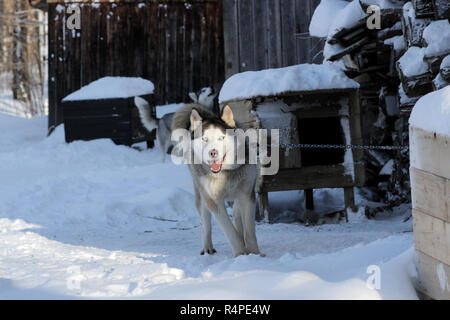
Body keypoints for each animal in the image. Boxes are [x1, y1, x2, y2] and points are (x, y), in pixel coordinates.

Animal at [172, 103, 264, 258]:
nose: (213, 152)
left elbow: (249, 230)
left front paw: (254, 253)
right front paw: (240, 253)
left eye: (221, 138)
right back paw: (207, 247)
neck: (225, 172)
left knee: (237, 213)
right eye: (204, 139)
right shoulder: (214, 201)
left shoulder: (247, 195)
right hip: (202, 195)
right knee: (206, 223)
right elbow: (229, 231)